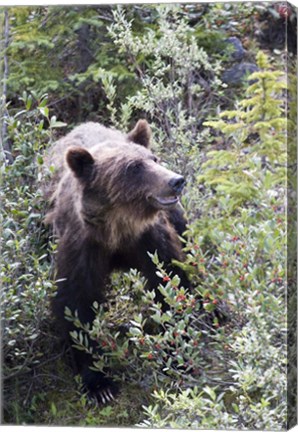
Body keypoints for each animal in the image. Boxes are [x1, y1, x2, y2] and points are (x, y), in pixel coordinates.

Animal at [44, 118, 189, 402]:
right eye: (134, 167)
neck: (117, 228)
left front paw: (179, 347)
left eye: (153, 158)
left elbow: (169, 277)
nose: (176, 180)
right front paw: (99, 385)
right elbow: (76, 305)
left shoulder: (148, 238)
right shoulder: (81, 246)